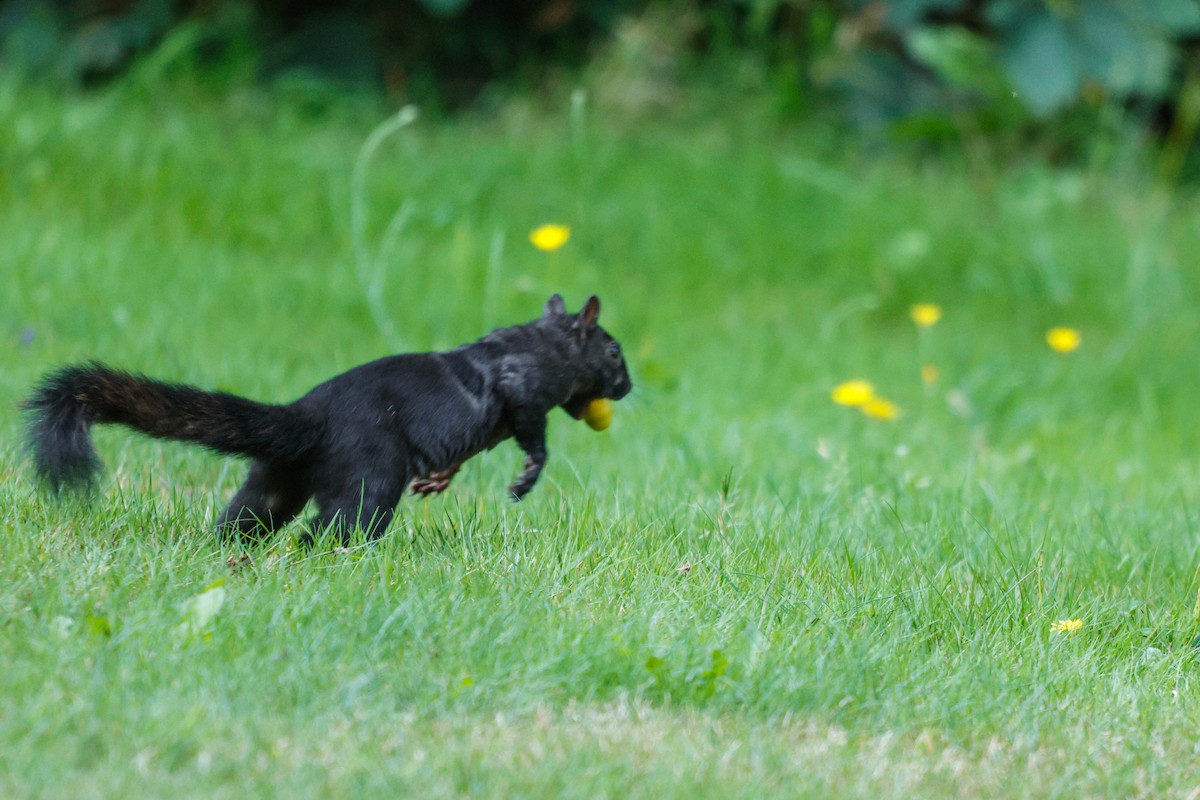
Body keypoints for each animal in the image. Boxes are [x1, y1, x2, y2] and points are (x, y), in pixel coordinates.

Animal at [23, 294, 632, 544]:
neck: (546, 342)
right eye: (613, 351)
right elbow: (533, 434)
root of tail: (304, 419)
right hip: (369, 478)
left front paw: (440, 479)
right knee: (333, 526)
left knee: (247, 518)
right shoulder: (521, 387)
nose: (627, 388)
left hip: (275, 480)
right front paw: (527, 476)